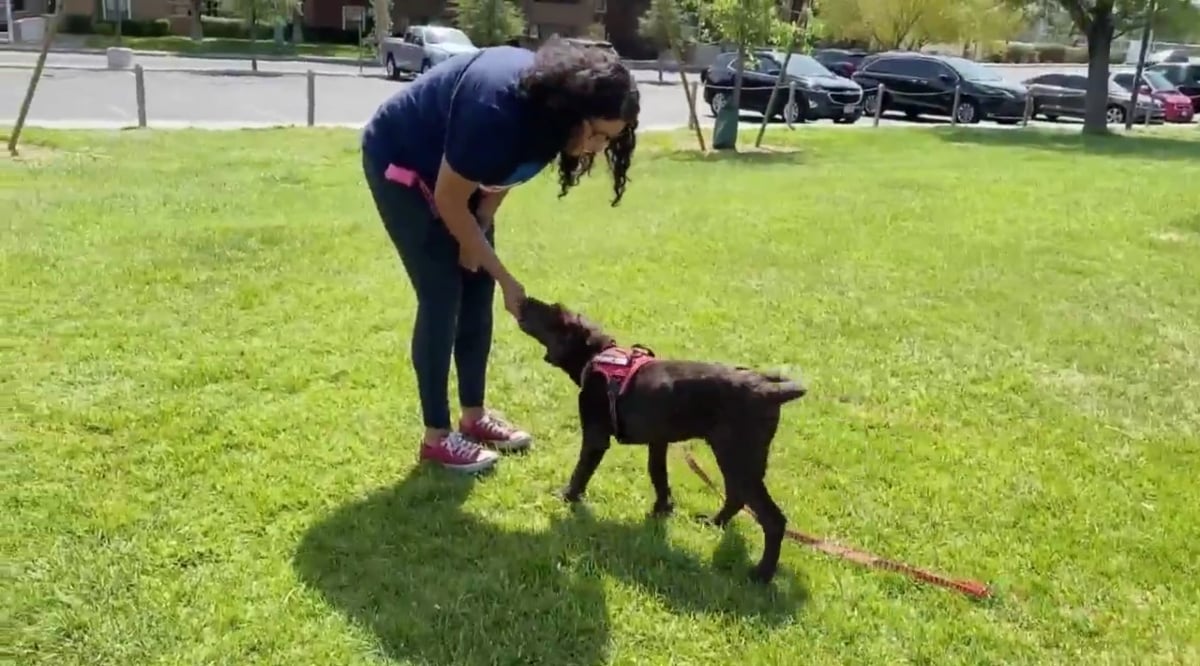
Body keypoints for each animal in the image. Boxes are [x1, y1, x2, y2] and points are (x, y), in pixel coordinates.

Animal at [516, 297, 806, 583]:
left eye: (552, 311)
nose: (523, 300)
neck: (598, 355)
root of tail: (770, 389)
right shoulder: (658, 442)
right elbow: (658, 476)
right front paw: (662, 509)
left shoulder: (596, 437)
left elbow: (581, 472)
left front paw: (567, 496)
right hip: (738, 459)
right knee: (736, 497)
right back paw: (714, 523)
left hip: (737, 458)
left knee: (772, 519)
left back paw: (762, 574)